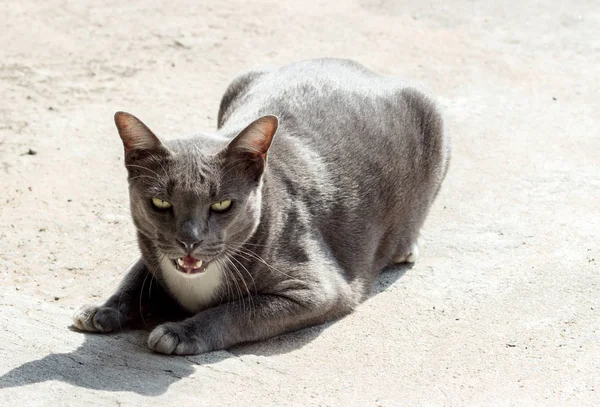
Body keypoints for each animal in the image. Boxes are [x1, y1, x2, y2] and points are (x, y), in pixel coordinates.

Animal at [72, 59, 450, 356]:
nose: (190, 241)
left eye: (223, 204)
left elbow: (241, 310)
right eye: (161, 202)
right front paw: (103, 309)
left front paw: (180, 332)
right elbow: (135, 277)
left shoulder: (315, 289)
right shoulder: (153, 250)